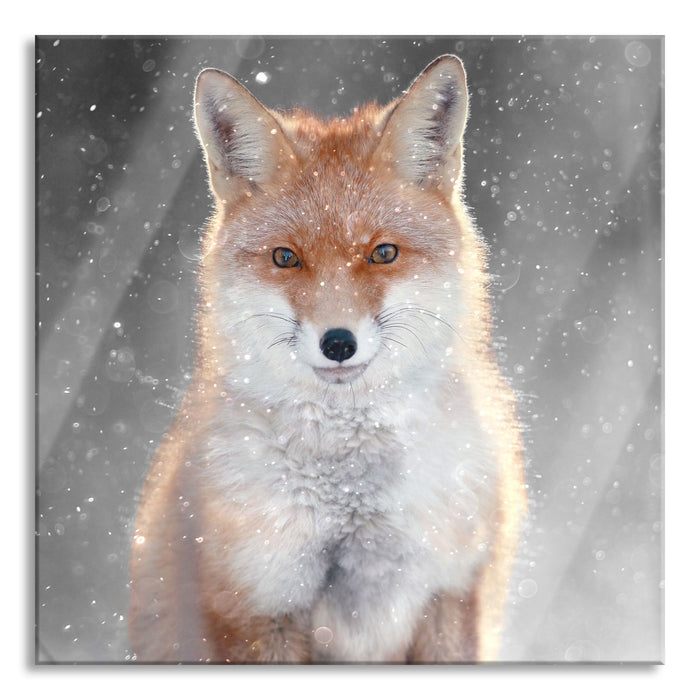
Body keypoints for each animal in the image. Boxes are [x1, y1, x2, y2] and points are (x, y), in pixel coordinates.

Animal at [128, 54, 526, 664]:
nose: (338, 343)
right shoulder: (257, 605)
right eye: (285, 258)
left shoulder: (452, 590)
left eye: (382, 252)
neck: (352, 498)